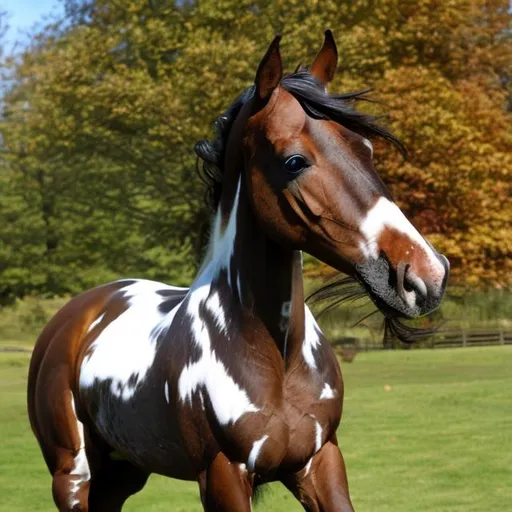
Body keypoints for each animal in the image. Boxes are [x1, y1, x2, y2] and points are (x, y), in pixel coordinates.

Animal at [28, 33, 448, 512]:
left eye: (366, 149)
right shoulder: (223, 475)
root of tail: (75, 314)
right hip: (73, 475)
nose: (424, 274)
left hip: (124, 472)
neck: (277, 362)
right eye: (294, 161)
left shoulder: (320, 461)